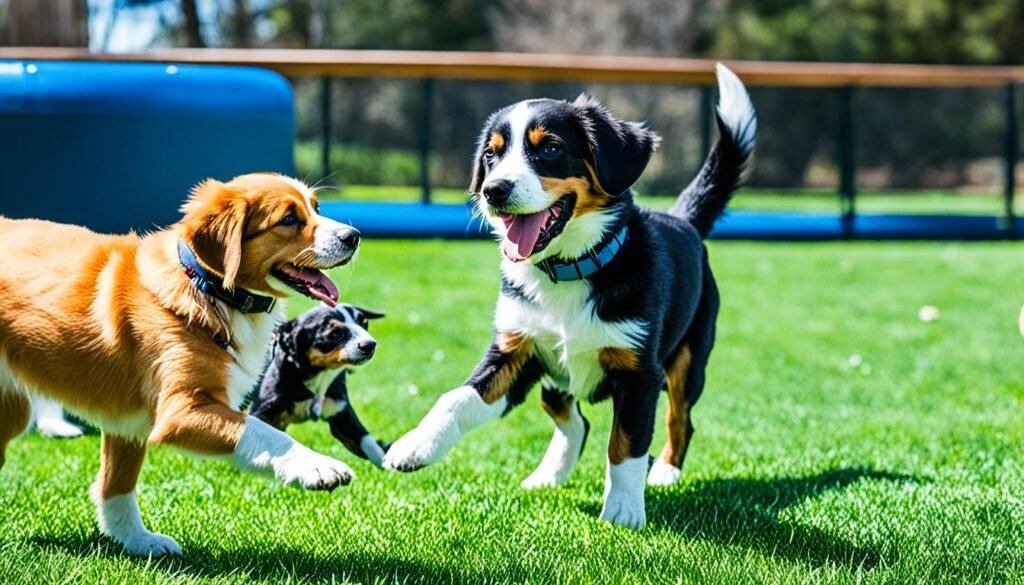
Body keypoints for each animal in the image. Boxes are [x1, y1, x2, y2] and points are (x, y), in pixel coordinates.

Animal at [0, 172, 362, 557]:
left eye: (316, 207)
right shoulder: (179, 412)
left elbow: (117, 485)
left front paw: (138, 541)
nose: (354, 236)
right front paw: (316, 465)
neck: (208, 289)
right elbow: (262, 430)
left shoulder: (126, 423)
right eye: (289, 219)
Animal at [247, 305, 391, 469]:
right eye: (335, 333)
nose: (369, 344)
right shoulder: (262, 411)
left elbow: (370, 444)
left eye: (364, 323)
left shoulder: (341, 411)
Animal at [387, 66, 757, 532]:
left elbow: (626, 444)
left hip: (689, 359)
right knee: (572, 418)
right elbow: (456, 398)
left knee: (679, 418)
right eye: (491, 156)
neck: (568, 270)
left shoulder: (639, 372)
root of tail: (682, 219)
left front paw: (622, 511)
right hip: (552, 373)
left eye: (550, 148)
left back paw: (666, 472)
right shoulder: (513, 350)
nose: (493, 190)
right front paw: (414, 445)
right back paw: (547, 475)